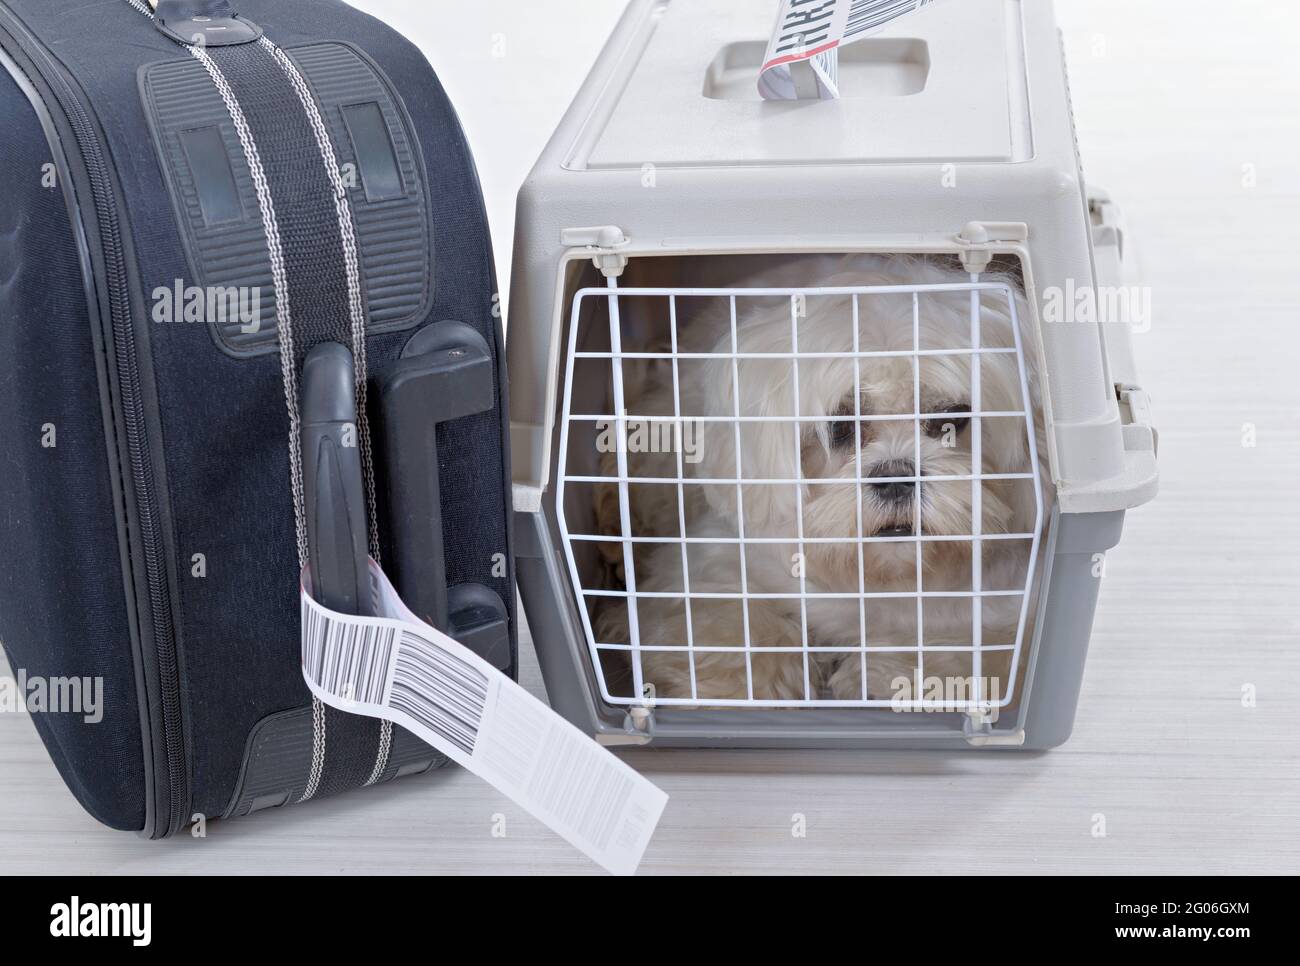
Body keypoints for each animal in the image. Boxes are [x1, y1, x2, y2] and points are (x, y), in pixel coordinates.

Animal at [595, 257, 1050, 707]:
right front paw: (742, 689)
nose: (896, 477)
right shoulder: (713, 562)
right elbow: (726, 624)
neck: (881, 578)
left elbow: (988, 652)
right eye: (839, 426)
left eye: (951, 418)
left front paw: (880, 675)